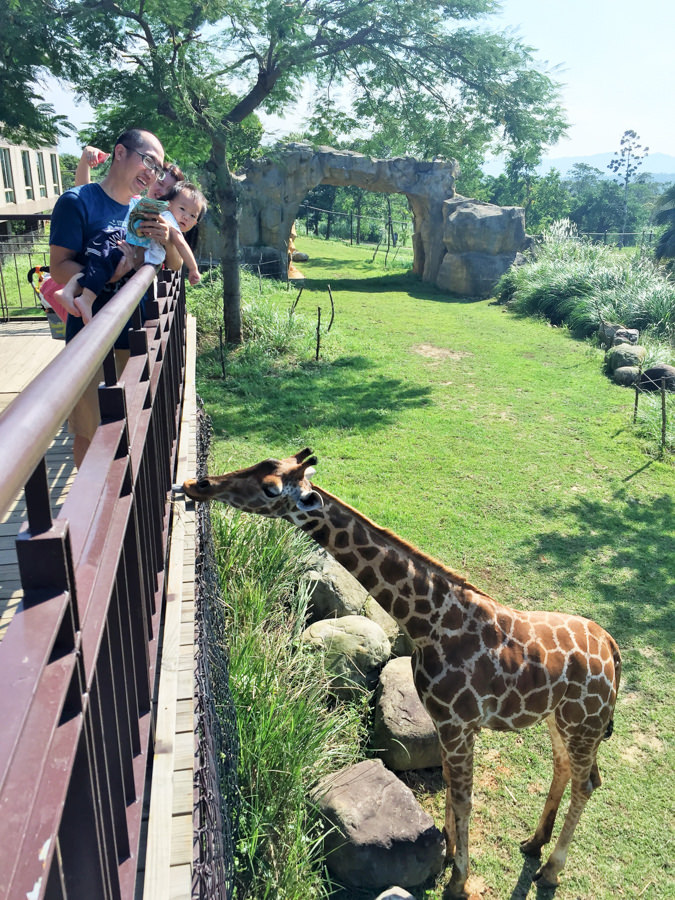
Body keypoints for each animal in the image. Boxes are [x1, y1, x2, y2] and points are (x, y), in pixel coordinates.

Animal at [184, 446, 624, 896]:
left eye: (270, 488)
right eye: (263, 464)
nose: (197, 484)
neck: (427, 623)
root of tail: (612, 648)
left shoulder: (458, 723)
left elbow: (464, 796)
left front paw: (458, 881)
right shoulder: (448, 724)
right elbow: (450, 785)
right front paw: (448, 852)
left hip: (583, 721)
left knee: (587, 782)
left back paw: (550, 869)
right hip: (561, 718)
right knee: (566, 768)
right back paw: (534, 843)